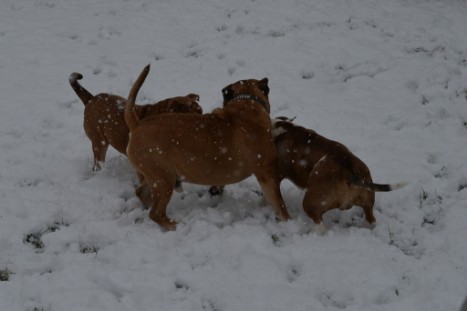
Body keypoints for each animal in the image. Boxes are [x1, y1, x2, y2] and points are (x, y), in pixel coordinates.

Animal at [126, 65, 290, 232]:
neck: (247, 103)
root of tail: (138, 125)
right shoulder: (267, 174)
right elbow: (280, 204)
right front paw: (288, 222)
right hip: (164, 179)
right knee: (156, 213)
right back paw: (173, 225)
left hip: (158, 175)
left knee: (141, 193)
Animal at [272, 117, 408, 234]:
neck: (287, 128)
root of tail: (349, 170)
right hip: (367, 201)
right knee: (371, 220)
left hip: (310, 203)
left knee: (320, 226)